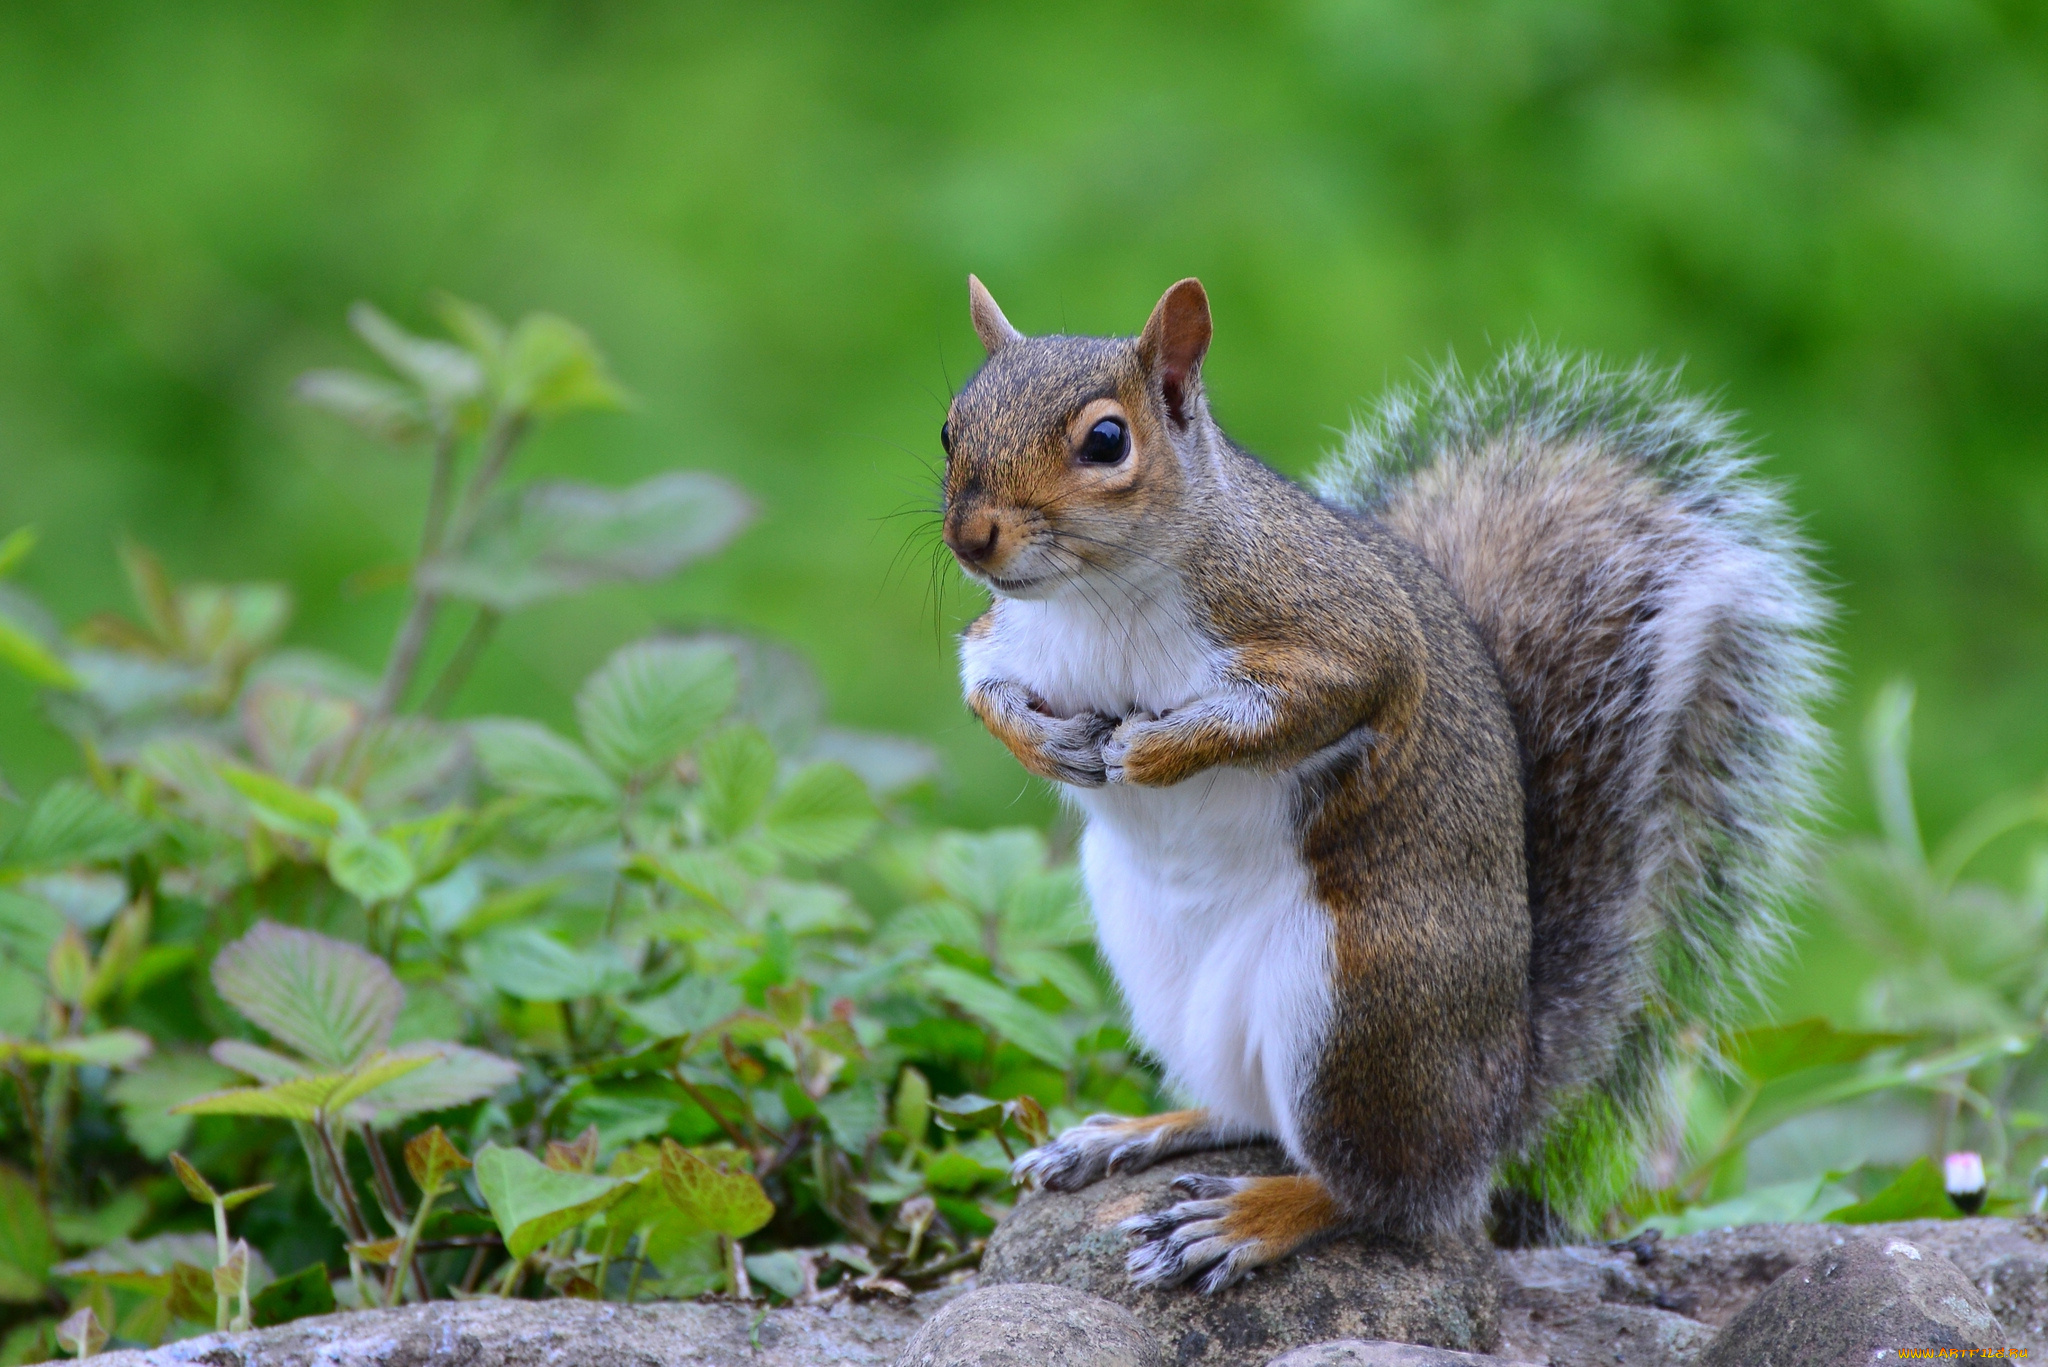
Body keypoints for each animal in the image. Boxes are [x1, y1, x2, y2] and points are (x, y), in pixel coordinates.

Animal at [937, 278, 1826, 1295]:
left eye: (1107, 441)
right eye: (950, 426)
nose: (970, 537)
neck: (1097, 594)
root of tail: (1499, 1102)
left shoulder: (1344, 632)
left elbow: (1313, 700)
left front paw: (1156, 753)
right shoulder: (1005, 637)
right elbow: (982, 687)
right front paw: (1049, 744)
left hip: (1357, 1001)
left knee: (1383, 1192)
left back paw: (1251, 1216)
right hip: (1162, 967)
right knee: (1250, 1112)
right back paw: (1138, 1130)